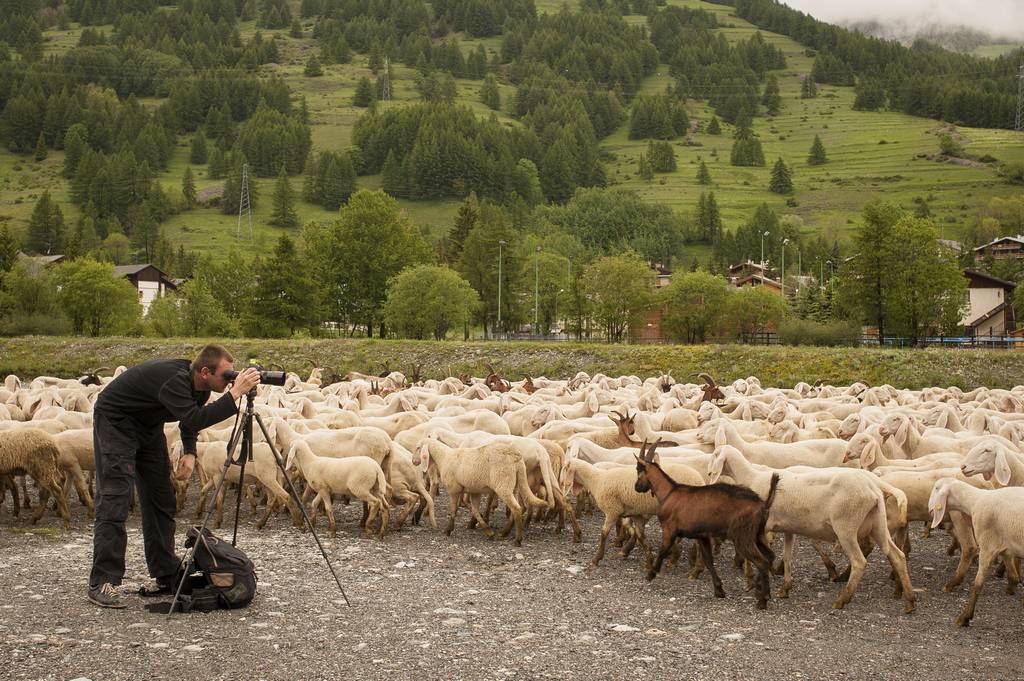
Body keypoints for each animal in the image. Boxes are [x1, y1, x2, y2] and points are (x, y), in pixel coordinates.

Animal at [630, 440, 774, 610]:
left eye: (638, 470)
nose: (636, 487)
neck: (669, 492)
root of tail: (763, 505)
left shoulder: (669, 529)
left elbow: (663, 551)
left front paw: (651, 574)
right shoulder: (702, 536)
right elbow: (708, 560)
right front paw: (719, 590)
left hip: (743, 536)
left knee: (762, 562)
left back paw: (762, 600)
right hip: (758, 535)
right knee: (770, 557)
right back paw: (761, 591)